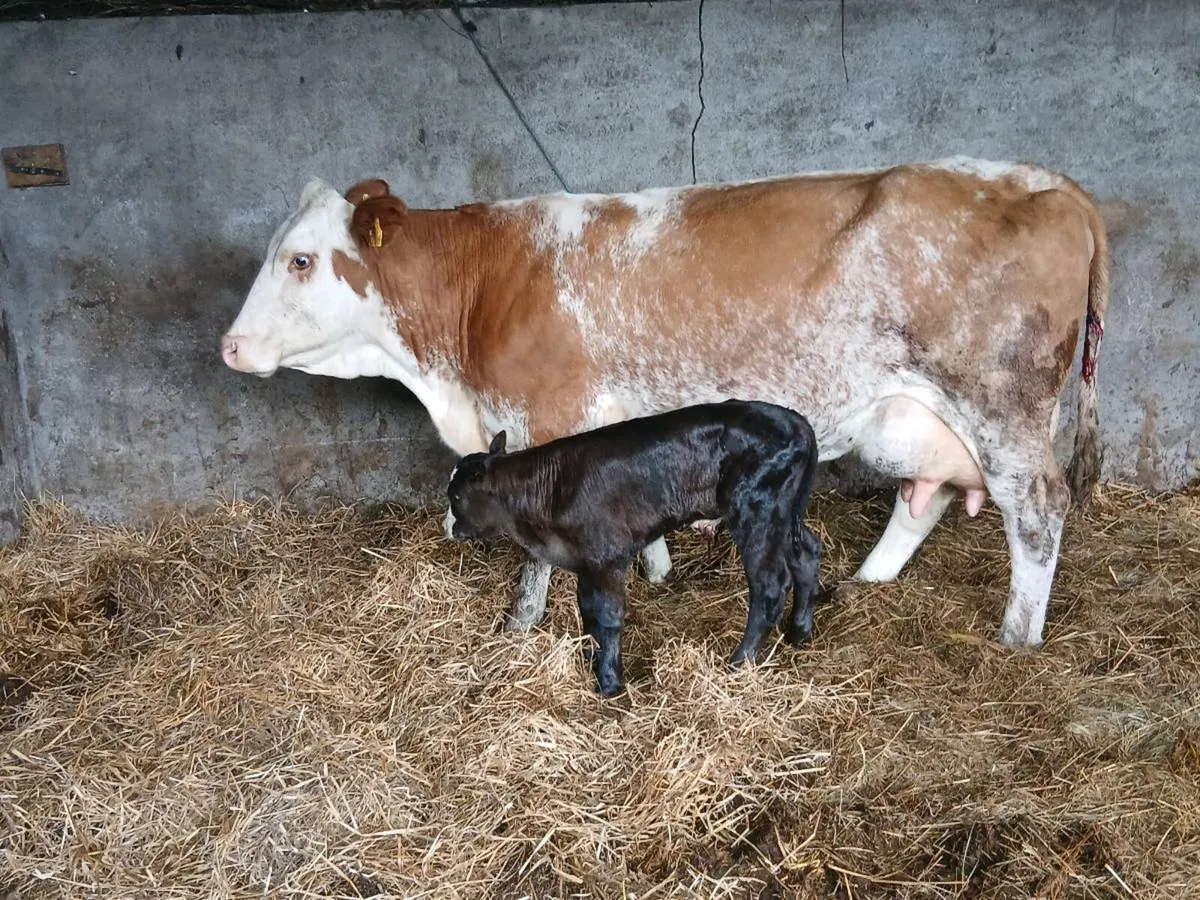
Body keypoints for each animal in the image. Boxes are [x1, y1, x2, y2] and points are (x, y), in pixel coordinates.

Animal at [221, 155, 1109, 650]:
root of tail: (1046, 181)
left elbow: (533, 550)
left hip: (1003, 401)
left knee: (1038, 507)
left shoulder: (544, 417)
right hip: (919, 417)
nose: (229, 346)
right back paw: (865, 581)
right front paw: (654, 571)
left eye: (300, 260)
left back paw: (1017, 638)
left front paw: (520, 624)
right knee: (924, 496)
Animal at [443, 400, 824, 697]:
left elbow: (607, 616)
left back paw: (740, 661)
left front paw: (609, 683)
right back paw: (799, 632)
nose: (448, 527)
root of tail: (796, 421)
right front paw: (589, 658)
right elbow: (589, 613)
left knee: (769, 587)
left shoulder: (606, 557)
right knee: (806, 555)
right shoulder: (586, 564)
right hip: (783, 516)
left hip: (756, 512)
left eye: (457, 496)